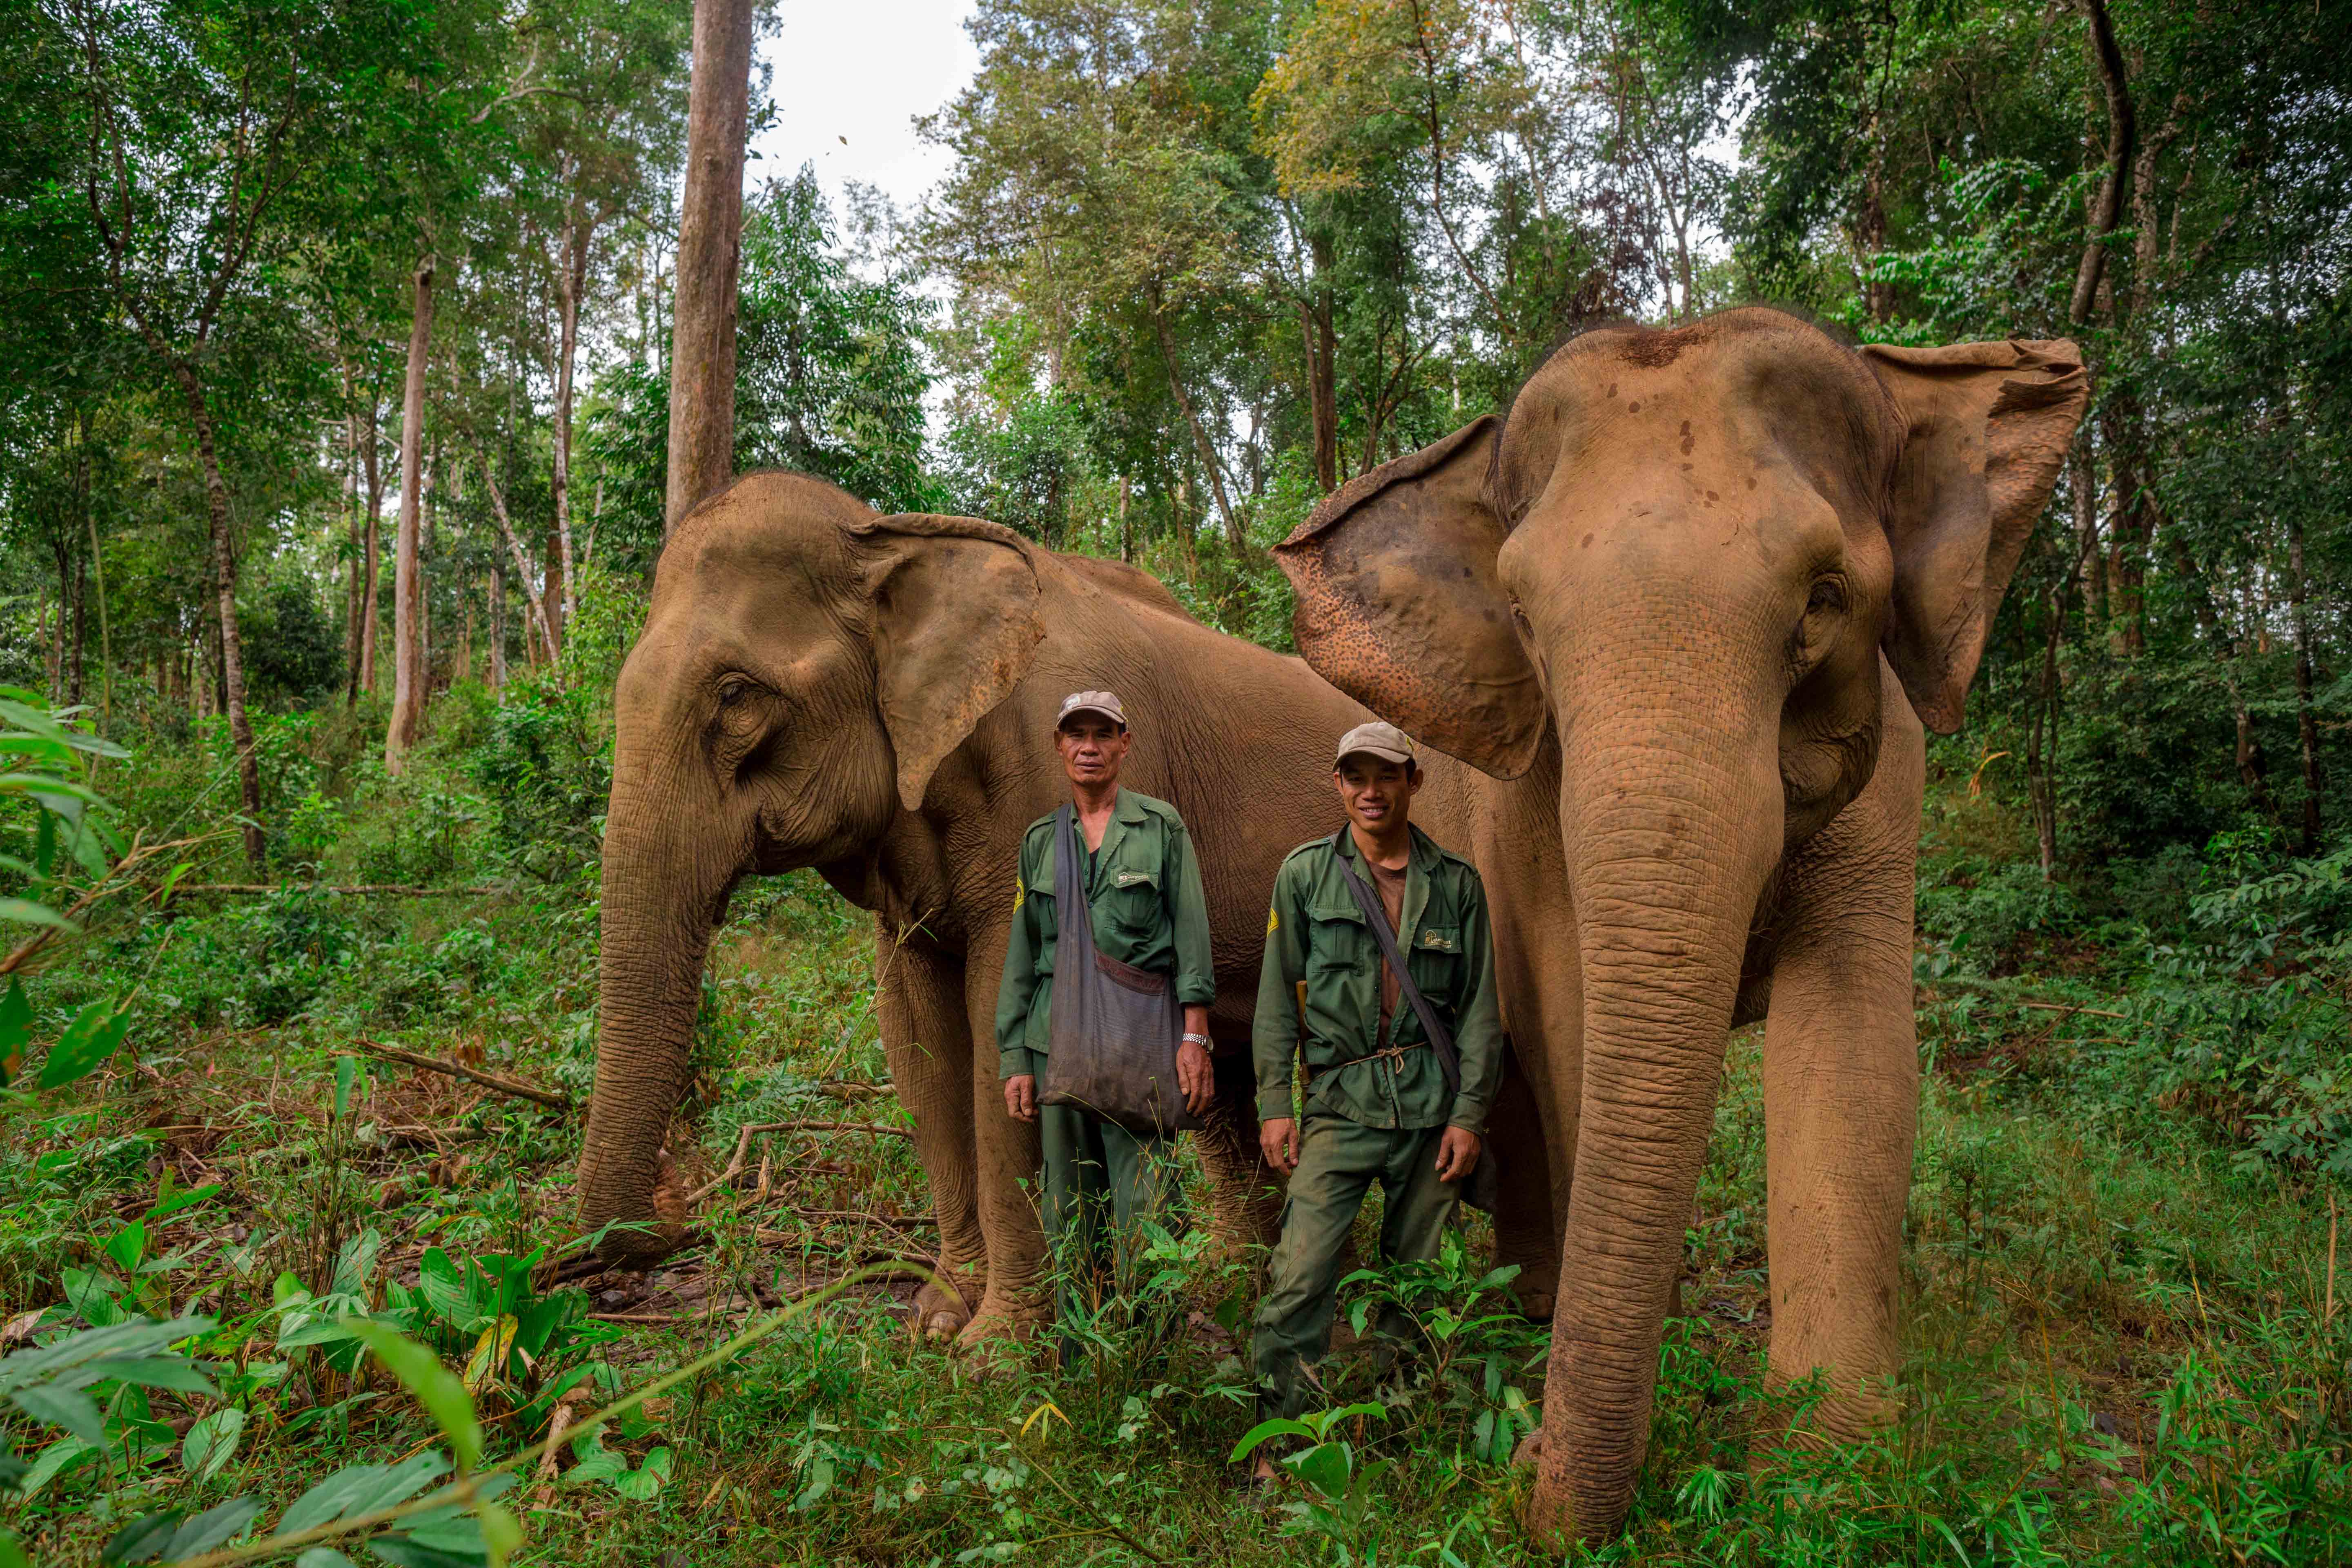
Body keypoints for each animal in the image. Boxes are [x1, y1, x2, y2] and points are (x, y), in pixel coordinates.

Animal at [574, 470, 1528, 1342]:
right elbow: (918, 1041)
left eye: (737, 697)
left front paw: (998, 1355)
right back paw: (1227, 1286)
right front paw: (939, 1319)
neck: (890, 537)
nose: (664, 1215)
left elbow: (1005, 1028)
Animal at [1273, 308, 2088, 1540]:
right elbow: (1567, 1024)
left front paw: (1825, 1466)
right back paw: (1530, 1310)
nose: (1523, 1464)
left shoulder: (1892, 772)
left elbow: (1853, 1047)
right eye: (1523, 617)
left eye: (1822, 598)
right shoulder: (1522, 804)